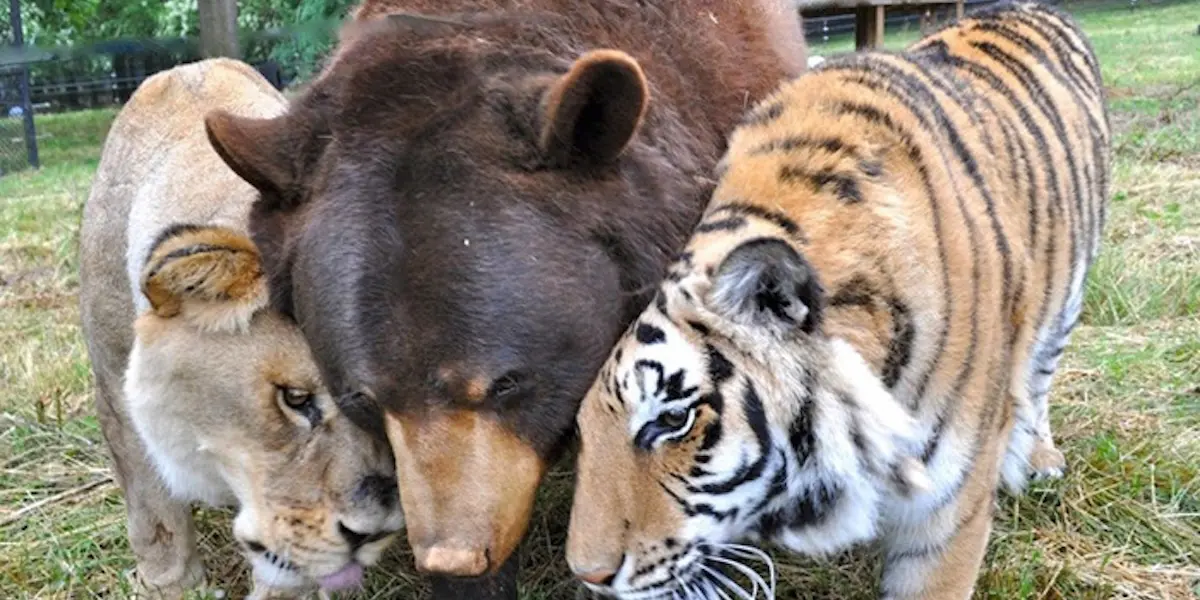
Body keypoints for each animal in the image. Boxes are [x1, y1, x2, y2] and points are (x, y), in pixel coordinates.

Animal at [565, 2, 1111, 599]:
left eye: (672, 420)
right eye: (583, 431)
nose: (588, 574)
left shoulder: (948, 508)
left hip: (1067, 299)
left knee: (1038, 378)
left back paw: (1038, 457)